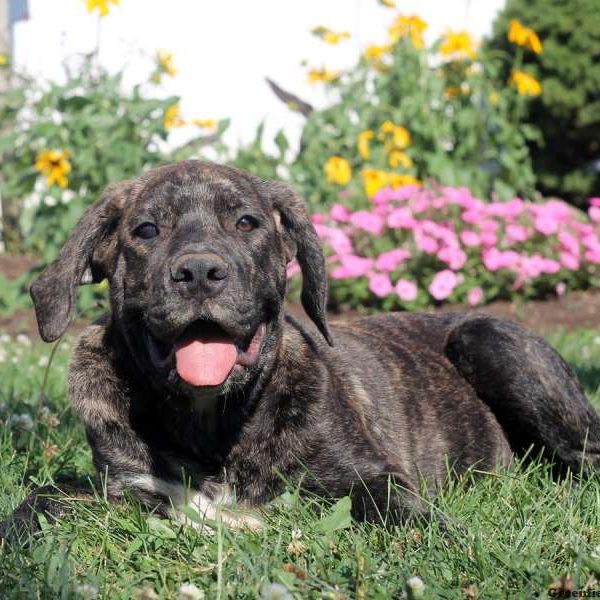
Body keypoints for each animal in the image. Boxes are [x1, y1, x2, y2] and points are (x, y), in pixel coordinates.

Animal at [1, 159, 600, 536]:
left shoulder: (372, 477)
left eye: (247, 223)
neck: (210, 422)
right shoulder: (125, 489)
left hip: (492, 340)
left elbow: (405, 513)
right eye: (146, 230)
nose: (199, 272)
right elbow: (46, 497)